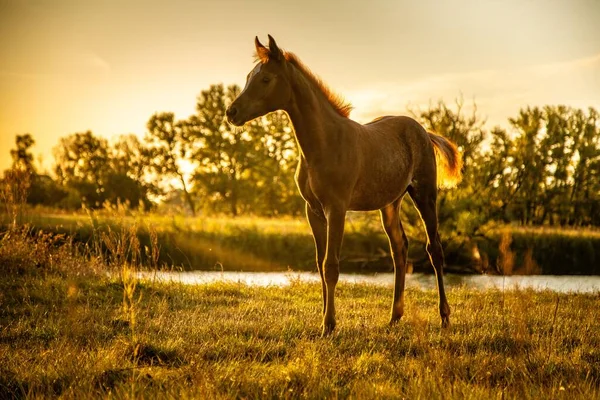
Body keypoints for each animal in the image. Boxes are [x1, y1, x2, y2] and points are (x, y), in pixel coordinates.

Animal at [227, 35, 462, 338]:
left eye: (265, 79)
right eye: (248, 77)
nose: (231, 112)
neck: (323, 144)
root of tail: (422, 130)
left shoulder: (336, 208)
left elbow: (331, 265)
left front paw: (329, 325)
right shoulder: (313, 211)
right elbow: (319, 263)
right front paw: (323, 319)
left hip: (425, 195)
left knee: (435, 250)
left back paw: (444, 316)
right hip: (390, 203)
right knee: (399, 249)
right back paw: (394, 317)